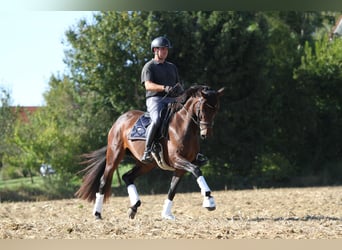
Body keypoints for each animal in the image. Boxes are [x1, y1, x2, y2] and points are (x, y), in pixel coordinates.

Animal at [75, 85, 224, 220]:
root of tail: (120, 120)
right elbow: (196, 170)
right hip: (114, 156)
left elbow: (172, 189)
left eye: (216, 109)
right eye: (203, 108)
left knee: (127, 177)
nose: (206, 134)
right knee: (103, 181)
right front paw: (209, 200)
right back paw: (97, 214)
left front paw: (166, 214)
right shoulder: (176, 159)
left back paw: (134, 207)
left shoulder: (180, 167)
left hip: (146, 164)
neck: (183, 127)